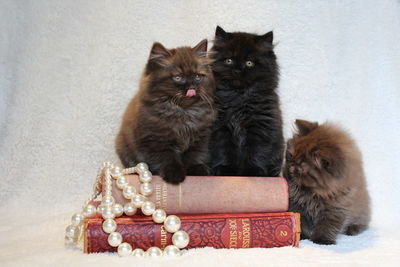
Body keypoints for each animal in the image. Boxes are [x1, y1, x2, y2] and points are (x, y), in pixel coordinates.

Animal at [115, 39, 216, 185]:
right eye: (178, 77)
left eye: (198, 77)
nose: (191, 88)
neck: (183, 112)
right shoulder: (156, 140)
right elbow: (166, 158)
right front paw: (174, 174)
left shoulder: (200, 137)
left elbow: (195, 155)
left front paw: (197, 169)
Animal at [208, 26, 282, 178]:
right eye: (229, 61)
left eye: (249, 63)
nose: (237, 70)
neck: (239, 98)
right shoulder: (221, 128)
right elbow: (223, 151)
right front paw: (224, 170)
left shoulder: (260, 128)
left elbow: (257, 151)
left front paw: (253, 171)